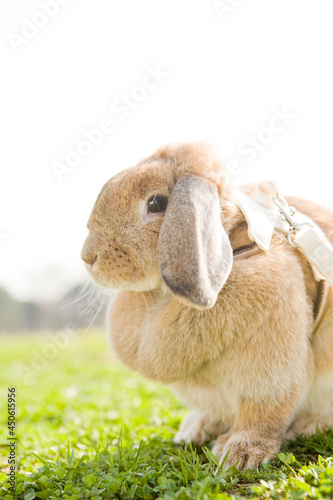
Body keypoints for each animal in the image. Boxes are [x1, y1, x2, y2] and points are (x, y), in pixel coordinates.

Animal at [80, 143, 332, 470]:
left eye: (156, 203)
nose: (88, 258)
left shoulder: (268, 367)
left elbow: (262, 413)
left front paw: (240, 455)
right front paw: (199, 431)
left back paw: (309, 426)